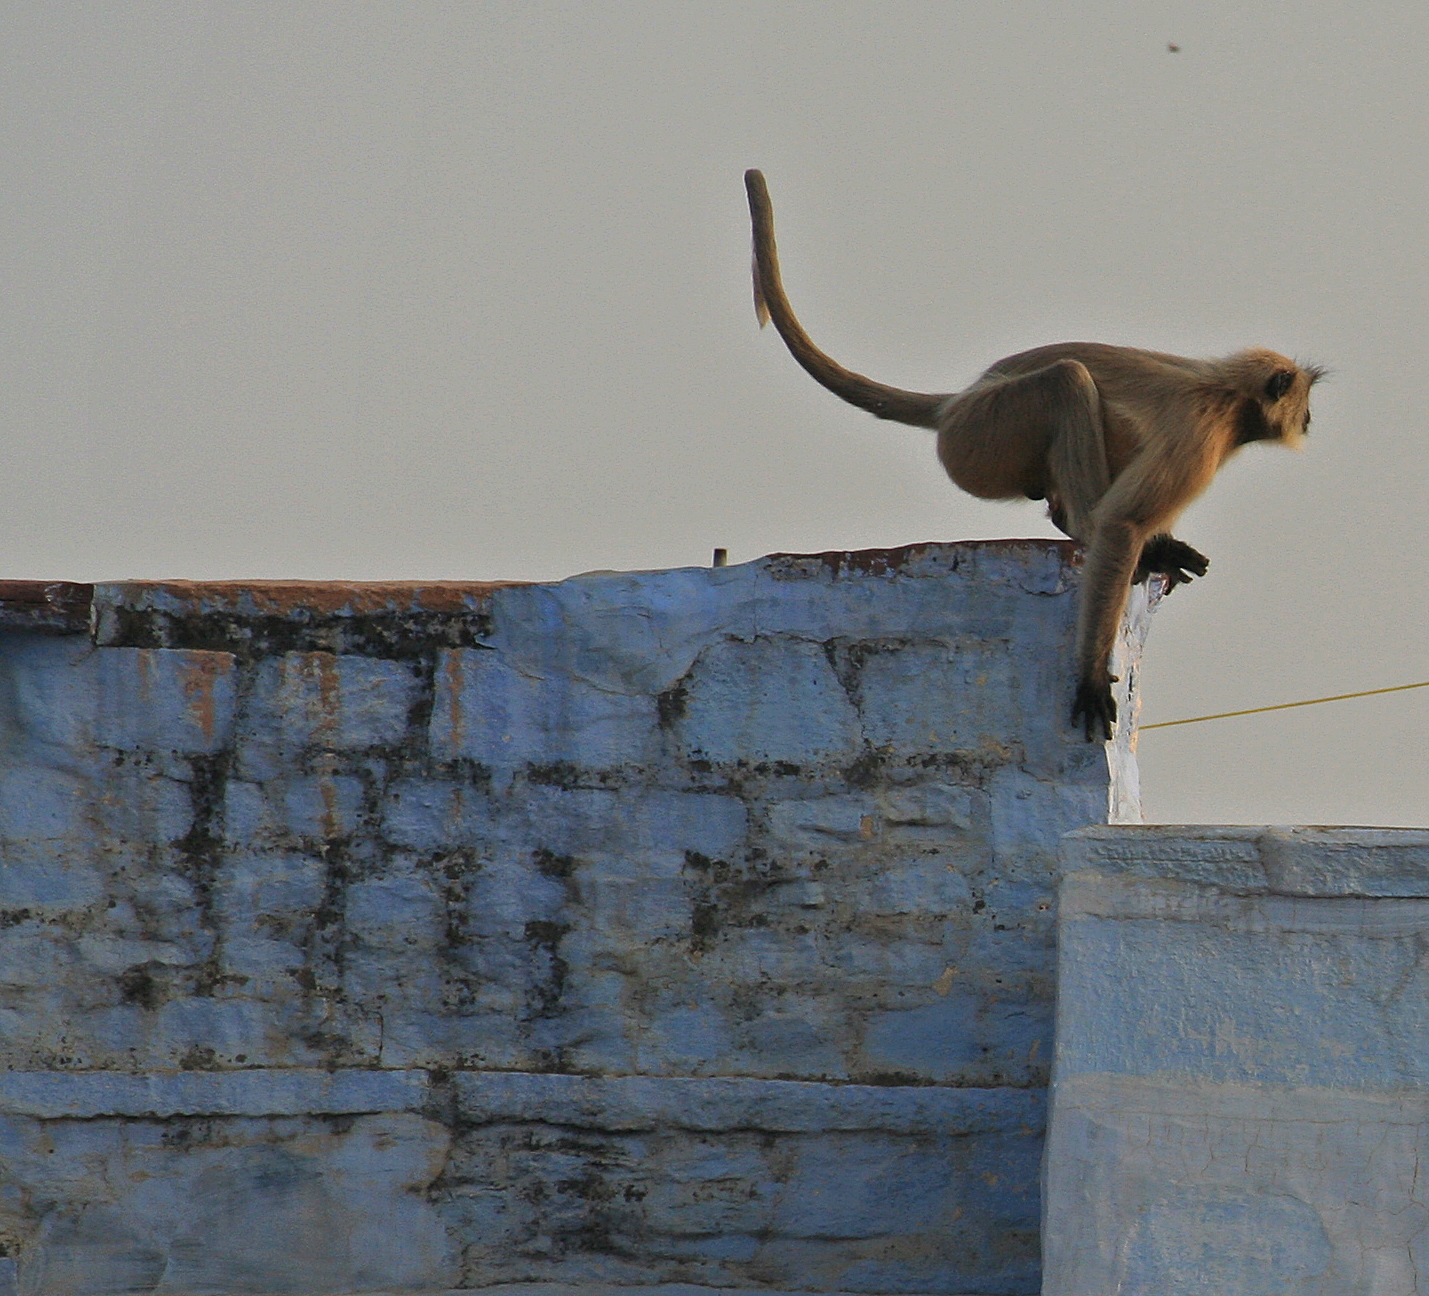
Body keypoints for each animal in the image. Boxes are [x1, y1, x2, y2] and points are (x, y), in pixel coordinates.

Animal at [744, 169, 1320, 742]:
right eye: (1303, 399)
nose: (1310, 418)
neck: (1227, 396)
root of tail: (956, 402)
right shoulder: (1199, 436)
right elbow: (1120, 525)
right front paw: (1091, 673)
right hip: (983, 434)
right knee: (1067, 383)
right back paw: (1096, 528)